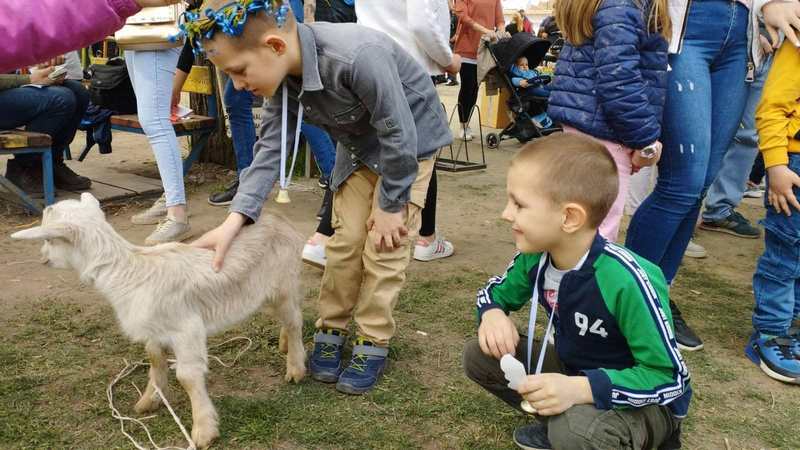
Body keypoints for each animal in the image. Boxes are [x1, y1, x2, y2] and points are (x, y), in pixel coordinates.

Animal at [12, 192, 306, 448]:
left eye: (51, 240)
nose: (43, 258)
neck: (128, 271)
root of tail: (277, 217)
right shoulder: (153, 329)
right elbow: (155, 359)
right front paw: (149, 400)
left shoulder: (186, 328)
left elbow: (187, 376)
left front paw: (203, 430)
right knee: (286, 317)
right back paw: (284, 344)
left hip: (283, 282)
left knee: (295, 320)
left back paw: (295, 366)